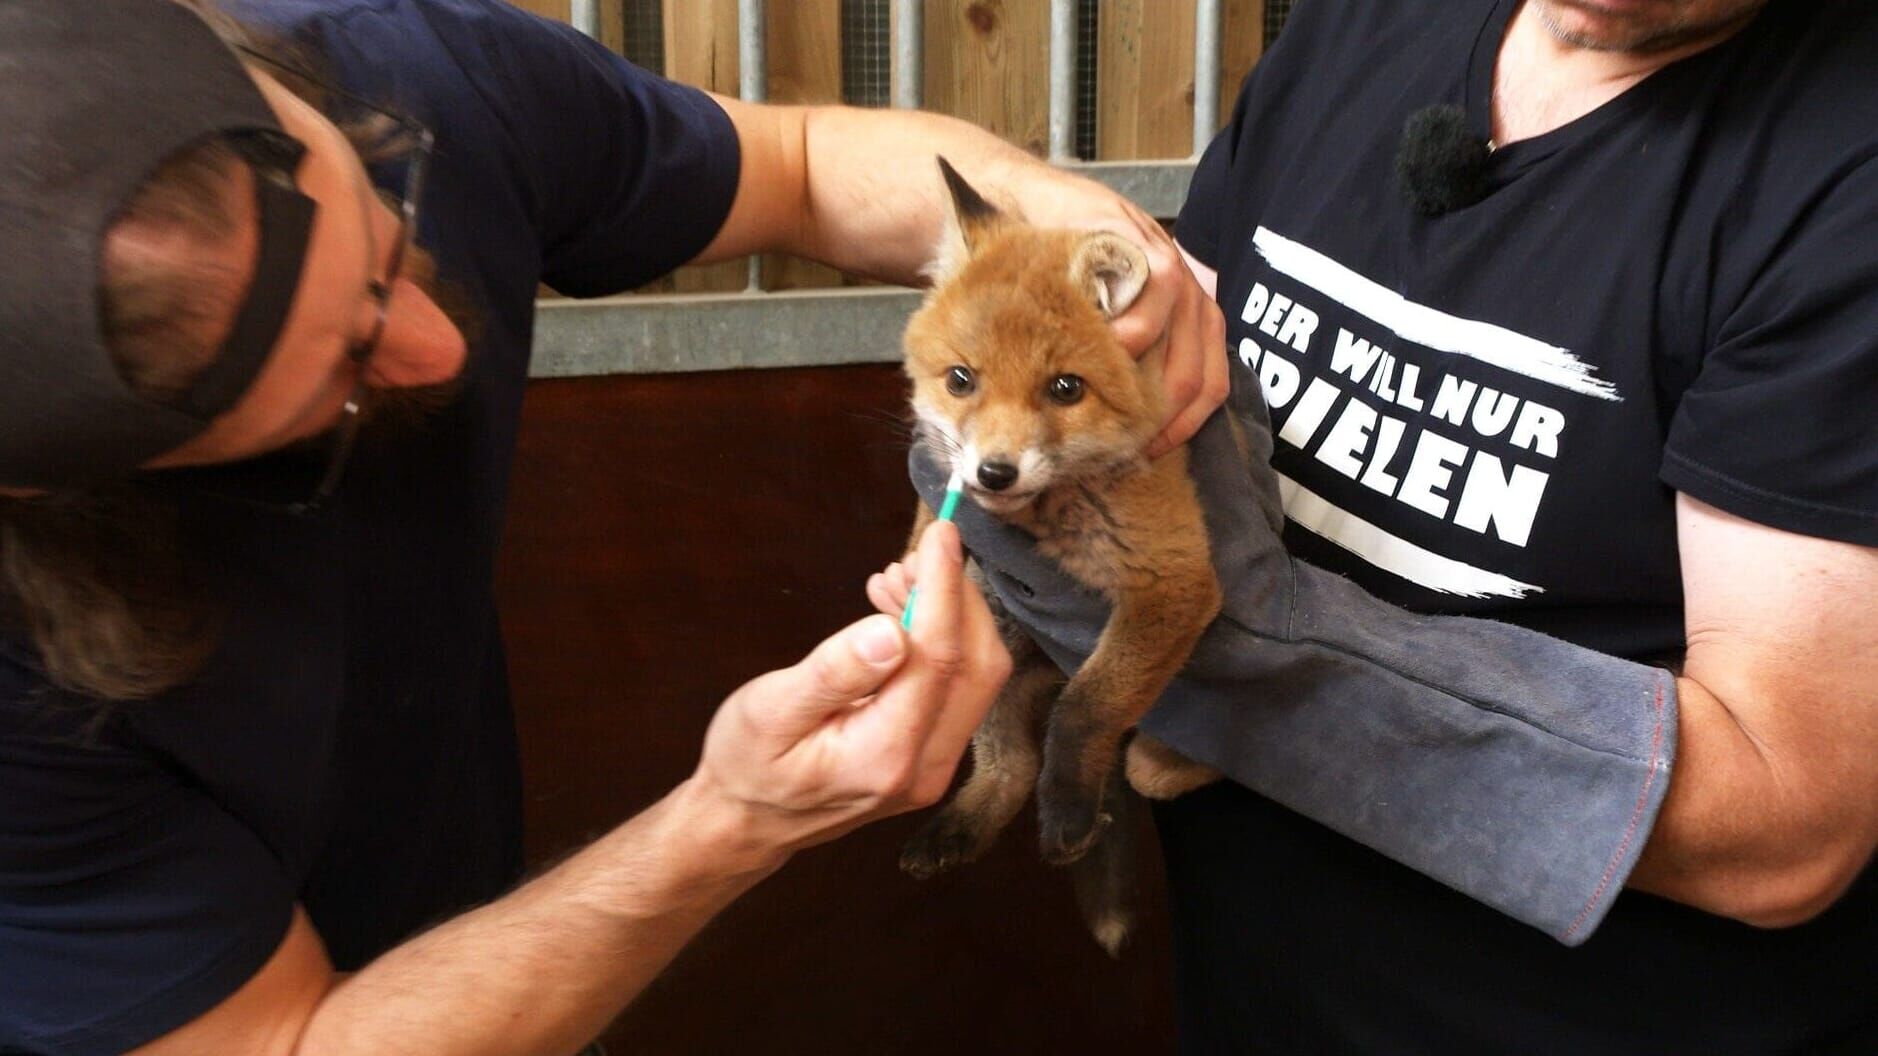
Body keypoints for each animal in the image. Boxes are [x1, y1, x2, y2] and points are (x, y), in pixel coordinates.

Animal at [901, 157, 1224, 954]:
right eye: (962, 379)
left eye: (1064, 389)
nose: (994, 473)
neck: (1051, 516)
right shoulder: (946, 500)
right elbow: (926, 529)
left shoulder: (1175, 581)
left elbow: (1086, 708)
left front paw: (1071, 806)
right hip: (994, 626)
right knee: (1008, 764)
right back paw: (966, 819)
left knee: (1129, 754)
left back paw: (1162, 765)